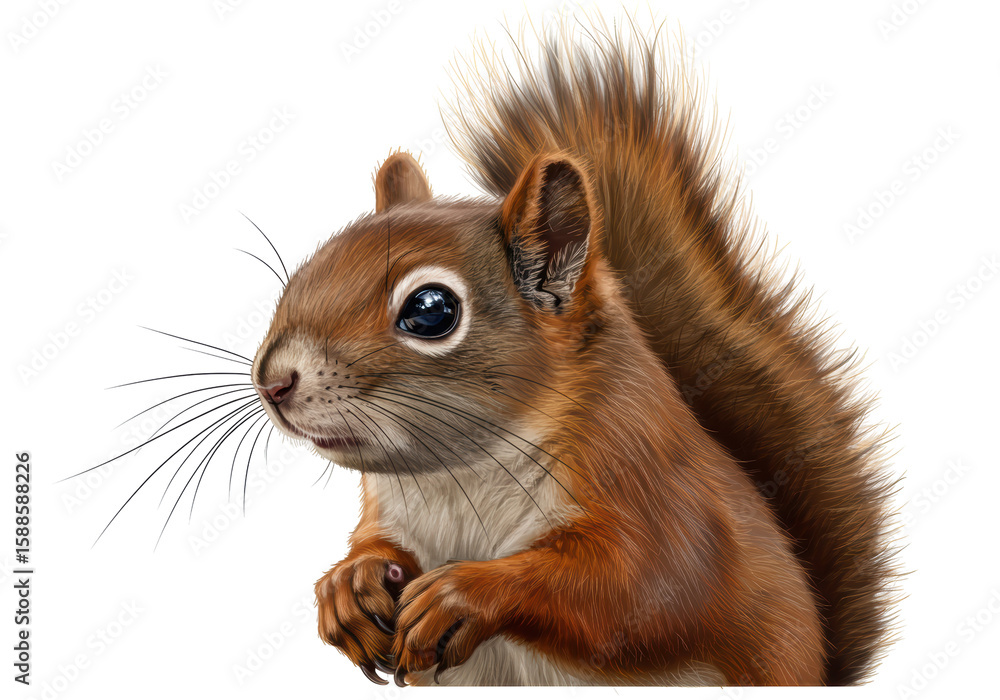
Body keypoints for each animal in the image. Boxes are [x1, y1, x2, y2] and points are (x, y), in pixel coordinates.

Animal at [251, 17, 897, 687]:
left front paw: (466, 594)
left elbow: (641, 590)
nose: (273, 382)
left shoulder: (655, 491)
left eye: (431, 309)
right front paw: (349, 585)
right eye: (305, 271)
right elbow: (375, 545)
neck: (456, 479)